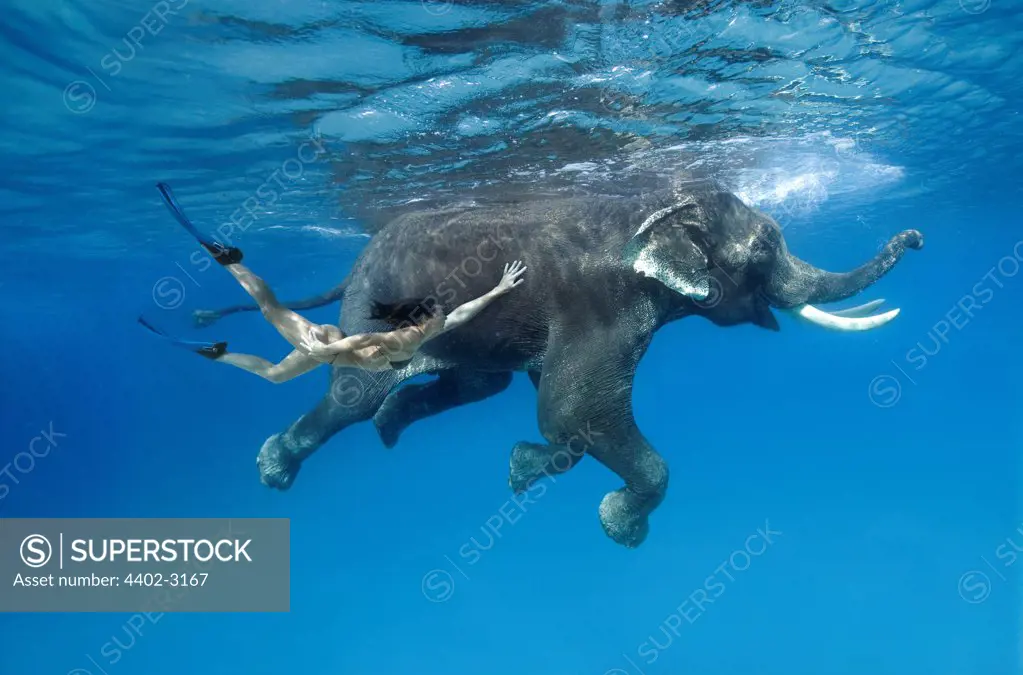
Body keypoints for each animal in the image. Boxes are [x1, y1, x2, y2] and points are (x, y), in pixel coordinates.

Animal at [195, 181, 924, 548]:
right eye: (767, 244)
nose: (917, 236)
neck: (652, 209)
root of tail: (350, 268)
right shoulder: (601, 306)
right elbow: (576, 410)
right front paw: (620, 524)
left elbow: (557, 414)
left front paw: (522, 469)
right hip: (369, 321)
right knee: (355, 396)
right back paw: (276, 466)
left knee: (475, 383)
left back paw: (393, 427)